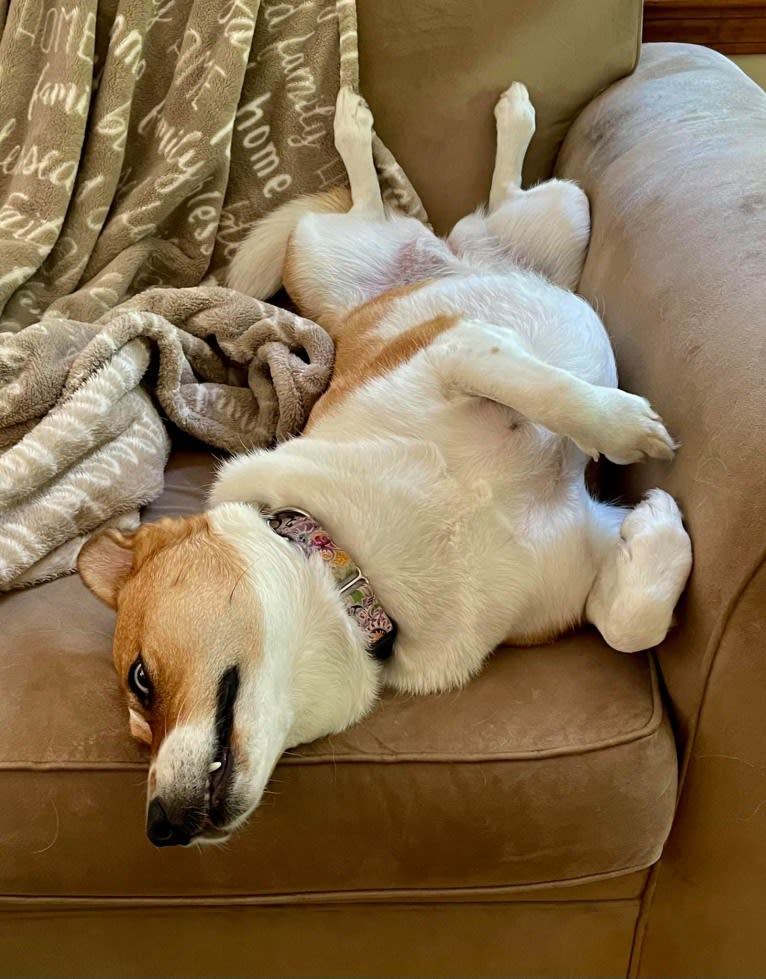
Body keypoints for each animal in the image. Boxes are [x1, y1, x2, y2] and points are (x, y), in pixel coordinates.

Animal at [79, 84, 696, 848]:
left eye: (141, 678)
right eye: (138, 713)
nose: (159, 828)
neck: (365, 570)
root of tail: (441, 257)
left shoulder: (458, 351)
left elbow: (551, 393)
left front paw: (627, 432)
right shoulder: (580, 549)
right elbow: (625, 622)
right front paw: (659, 527)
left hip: (534, 220)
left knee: (416, 199)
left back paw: (408, 122)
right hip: (525, 224)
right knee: (463, 202)